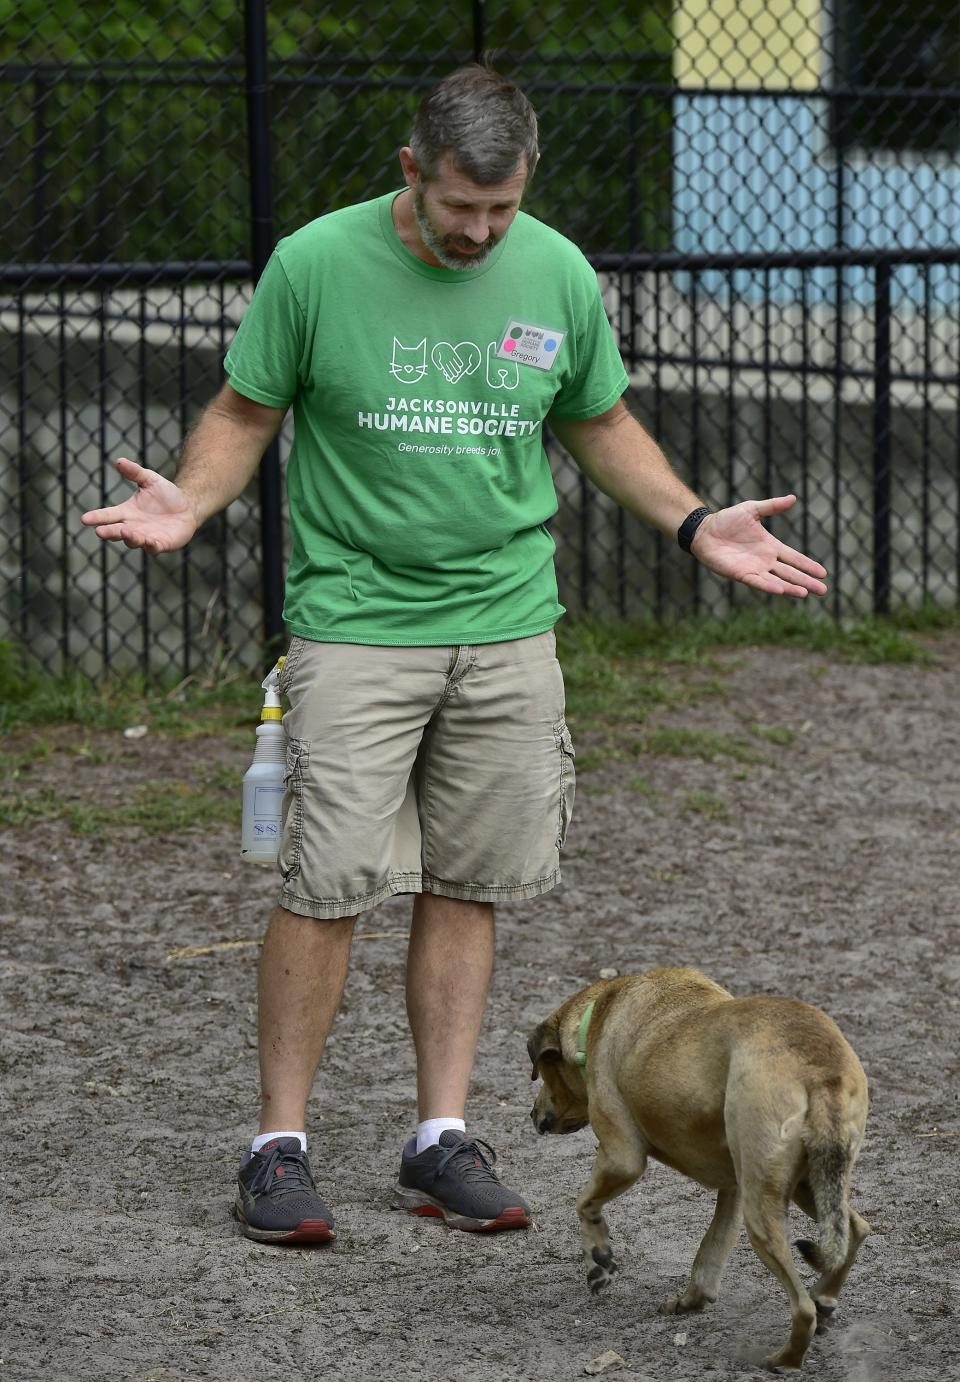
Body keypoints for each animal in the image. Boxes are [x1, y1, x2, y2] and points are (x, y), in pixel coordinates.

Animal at [530, 972, 872, 1370]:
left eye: (544, 1076)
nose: (533, 1115)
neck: (596, 1013)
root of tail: (817, 1067)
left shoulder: (621, 1158)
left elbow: (584, 1203)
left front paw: (599, 1260)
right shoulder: (733, 1188)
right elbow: (710, 1254)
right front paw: (690, 1300)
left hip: (764, 1210)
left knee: (802, 1310)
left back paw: (783, 1358)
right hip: (806, 1184)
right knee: (854, 1230)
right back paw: (825, 1299)